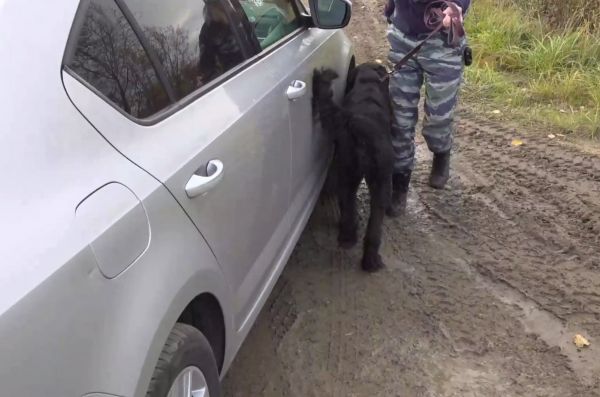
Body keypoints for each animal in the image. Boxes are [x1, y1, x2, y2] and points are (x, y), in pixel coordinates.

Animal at [312, 62, 396, 272]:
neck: (368, 82)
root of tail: (359, 123)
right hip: (378, 180)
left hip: (351, 172)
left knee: (351, 207)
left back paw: (353, 244)